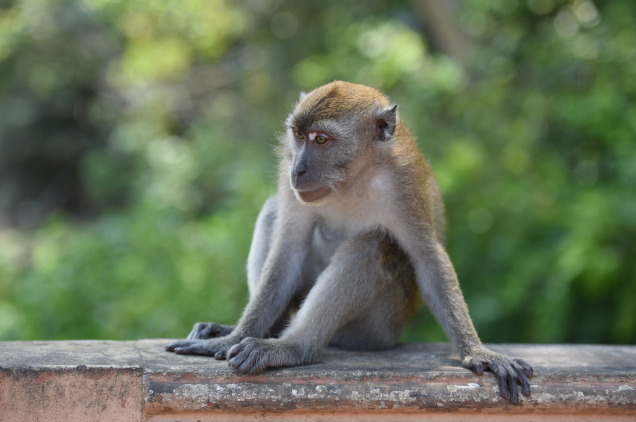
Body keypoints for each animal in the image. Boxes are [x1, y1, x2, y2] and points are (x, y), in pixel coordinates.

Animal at [166, 81, 536, 404]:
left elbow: (428, 260)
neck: (351, 178)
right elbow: (286, 251)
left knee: (374, 245)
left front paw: (479, 353)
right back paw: (265, 332)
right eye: (298, 136)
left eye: (321, 139)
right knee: (274, 211)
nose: (298, 169)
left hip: (375, 330)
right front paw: (232, 337)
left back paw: (293, 348)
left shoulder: (404, 184)